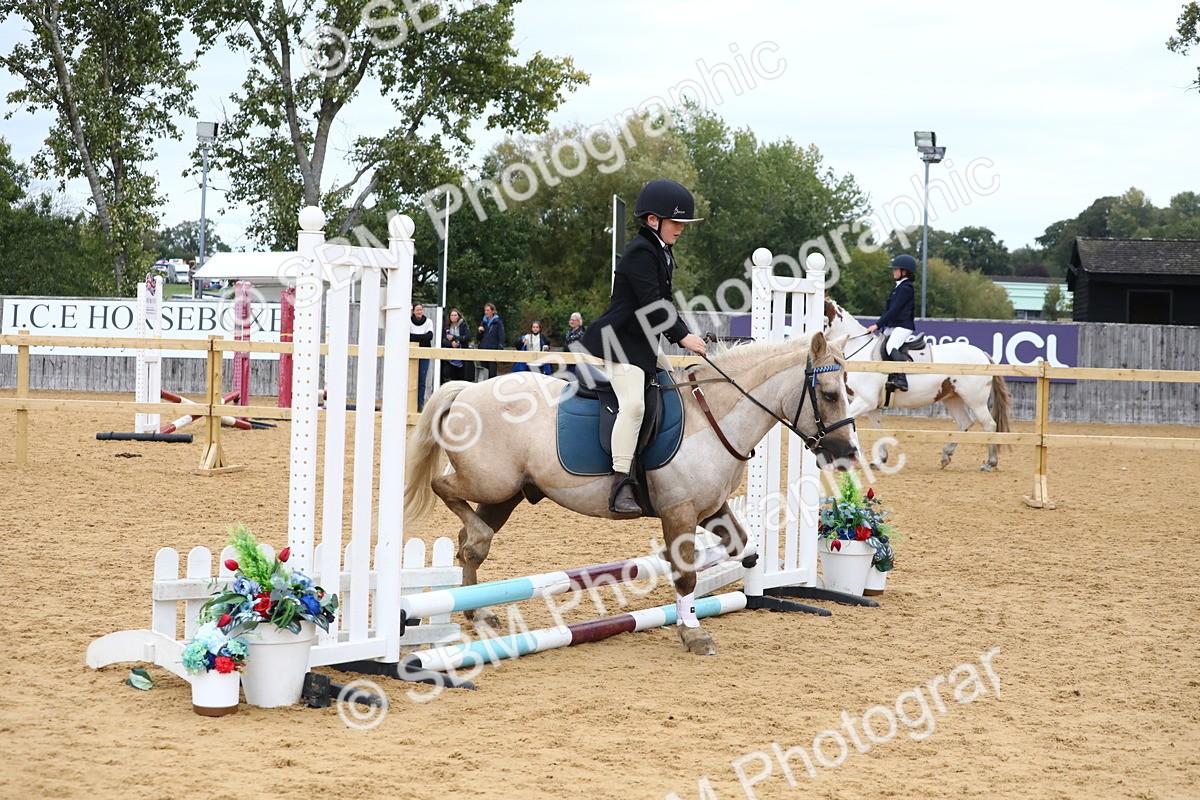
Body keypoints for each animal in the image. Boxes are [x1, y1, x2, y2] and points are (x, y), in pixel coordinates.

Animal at [404, 331, 859, 657]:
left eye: (849, 392)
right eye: (829, 394)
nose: (849, 454)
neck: (714, 415)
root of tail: (467, 389)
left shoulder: (711, 509)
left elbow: (737, 547)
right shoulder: (679, 511)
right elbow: (686, 571)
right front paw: (693, 634)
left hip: (507, 494)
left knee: (468, 542)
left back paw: (478, 611)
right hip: (491, 482)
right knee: (446, 492)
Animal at [822, 298, 1012, 471]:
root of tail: (982, 354)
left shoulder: (864, 401)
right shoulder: (871, 405)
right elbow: (877, 429)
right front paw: (879, 460)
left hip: (975, 400)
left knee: (989, 425)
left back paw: (990, 463)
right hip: (952, 397)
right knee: (965, 422)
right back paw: (946, 456)